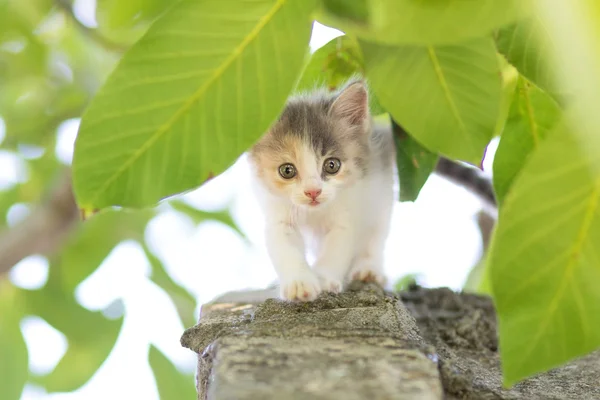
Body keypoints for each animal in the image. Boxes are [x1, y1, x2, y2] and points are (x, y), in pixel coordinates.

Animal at [246, 79, 396, 302]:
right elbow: (284, 247)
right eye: (287, 170)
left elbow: (337, 247)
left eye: (332, 165)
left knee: (375, 234)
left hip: (381, 194)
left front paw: (324, 278)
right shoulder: (277, 214)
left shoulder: (348, 212)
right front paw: (299, 283)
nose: (313, 192)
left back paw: (368, 269)